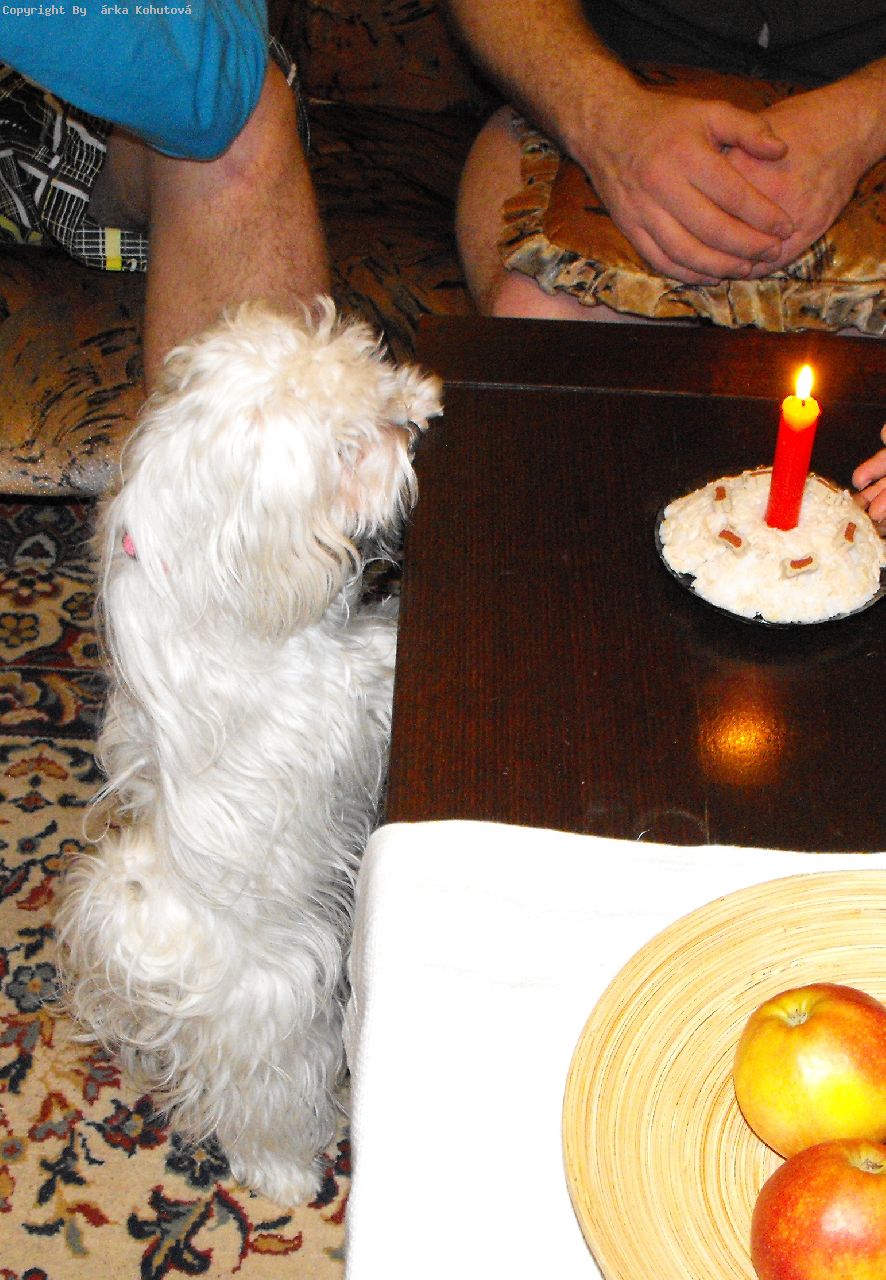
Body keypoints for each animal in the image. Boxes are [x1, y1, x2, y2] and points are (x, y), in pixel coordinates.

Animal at [54, 298, 442, 1204]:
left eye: (374, 376)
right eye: (347, 446)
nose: (410, 422)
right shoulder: (322, 701)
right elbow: (364, 664)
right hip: (281, 1017)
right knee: (259, 1106)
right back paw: (291, 1174)